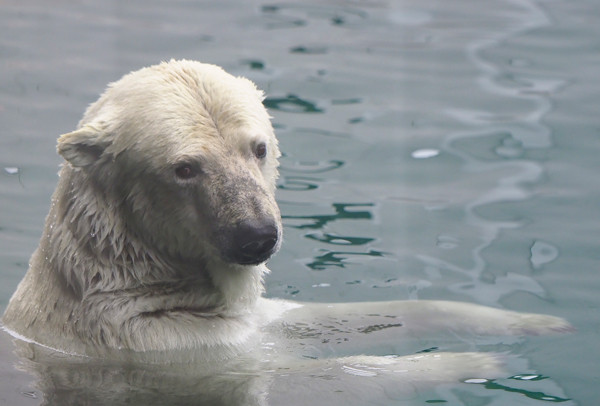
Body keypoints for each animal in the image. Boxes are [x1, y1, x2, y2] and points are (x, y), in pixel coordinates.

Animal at [1, 61, 572, 402]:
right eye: (185, 168)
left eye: (258, 147)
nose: (256, 234)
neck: (137, 285)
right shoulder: (164, 353)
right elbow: (324, 374)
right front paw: (477, 359)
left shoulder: (244, 326)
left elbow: (338, 320)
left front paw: (533, 324)